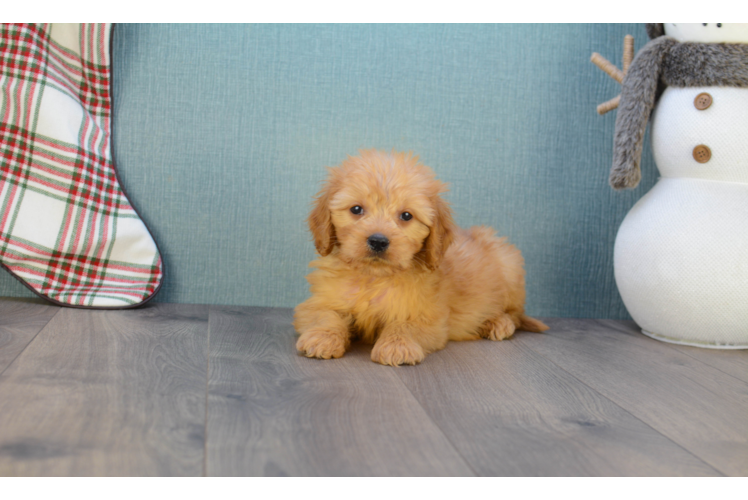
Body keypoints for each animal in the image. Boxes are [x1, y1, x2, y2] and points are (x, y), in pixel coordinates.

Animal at [294, 150, 548, 366]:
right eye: (356, 209)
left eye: (406, 215)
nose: (378, 241)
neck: (374, 278)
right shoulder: (318, 303)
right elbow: (326, 315)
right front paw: (322, 338)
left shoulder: (429, 316)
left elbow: (404, 324)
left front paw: (397, 346)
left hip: (509, 266)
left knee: (514, 314)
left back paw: (496, 322)